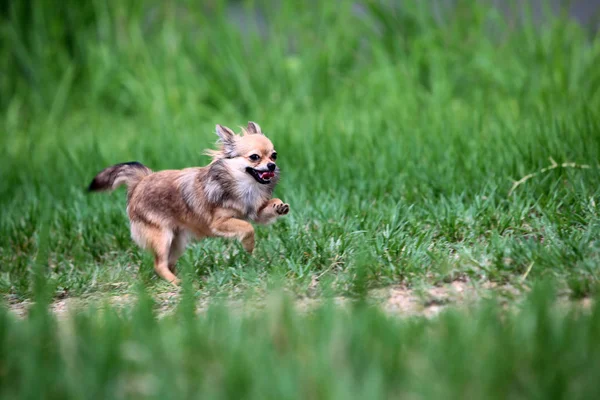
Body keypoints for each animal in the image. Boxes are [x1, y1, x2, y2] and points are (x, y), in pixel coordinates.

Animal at [87, 122, 290, 284]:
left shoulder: (255, 211)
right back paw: (176, 282)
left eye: (274, 155)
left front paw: (279, 206)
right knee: (159, 264)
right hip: (162, 237)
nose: (272, 166)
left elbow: (265, 210)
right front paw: (249, 245)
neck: (243, 186)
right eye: (255, 157)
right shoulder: (219, 223)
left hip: (177, 241)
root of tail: (140, 181)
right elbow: (248, 228)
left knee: (168, 262)